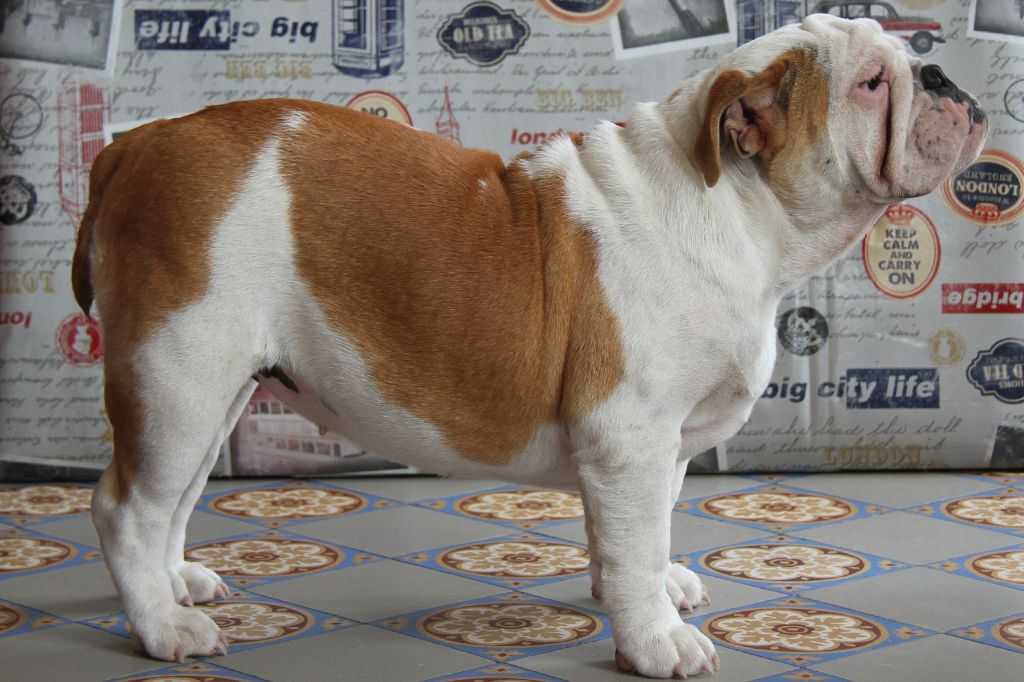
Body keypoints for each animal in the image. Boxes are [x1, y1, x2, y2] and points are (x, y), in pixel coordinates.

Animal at [73, 15, 985, 678]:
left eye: (910, 57)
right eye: (872, 83)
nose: (943, 74)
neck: (736, 206)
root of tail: (135, 145)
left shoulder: (652, 450)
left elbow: (636, 535)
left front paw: (646, 589)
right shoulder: (632, 436)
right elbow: (636, 538)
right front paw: (654, 641)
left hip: (209, 385)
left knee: (172, 500)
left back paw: (177, 585)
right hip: (180, 374)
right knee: (126, 507)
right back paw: (161, 627)